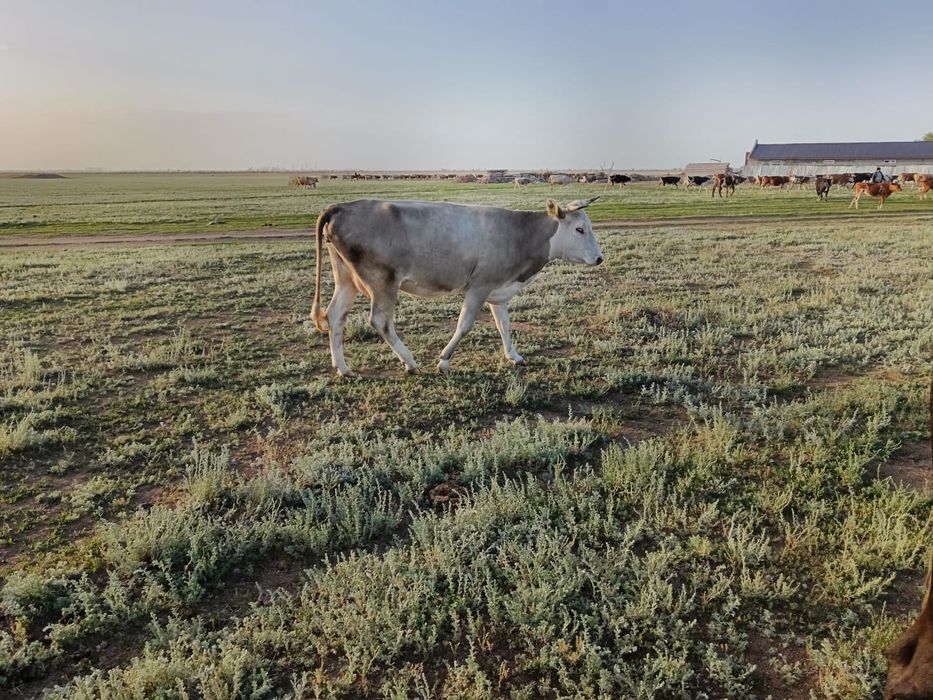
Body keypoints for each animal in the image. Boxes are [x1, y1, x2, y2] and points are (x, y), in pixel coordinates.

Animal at [310, 198, 604, 376]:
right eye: (579, 229)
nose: (600, 258)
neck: (519, 233)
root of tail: (340, 208)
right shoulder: (479, 287)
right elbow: (464, 325)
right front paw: (443, 360)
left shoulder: (498, 291)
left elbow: (504, 326)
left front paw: (514, 355)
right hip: (383, 282)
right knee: (380, 321)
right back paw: (410, 362)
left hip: (346, 280)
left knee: (335, 316)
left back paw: (343, 368)